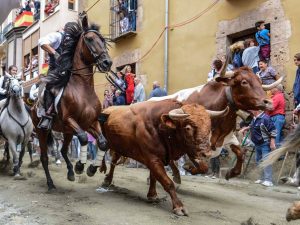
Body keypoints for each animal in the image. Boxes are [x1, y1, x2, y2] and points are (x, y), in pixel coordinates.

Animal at [31, 11, 112, 189]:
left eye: (103, 40)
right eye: (89, 39)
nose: (107, 62)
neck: (83, 90)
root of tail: (33, 105)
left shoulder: (90, 122)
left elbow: (103, 142)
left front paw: (91, 168)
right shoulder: (70, 120)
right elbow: (83, 139)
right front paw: (80, 166)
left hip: (67, 132)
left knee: (62, 151)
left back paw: (69, 172)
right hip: (42, 131)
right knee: (44, 157)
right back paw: (50, 183)